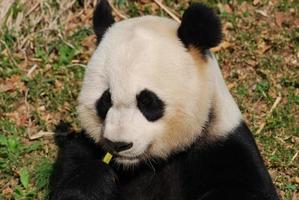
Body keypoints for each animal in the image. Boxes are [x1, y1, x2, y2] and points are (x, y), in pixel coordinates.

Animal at [48, 0, 280, 199]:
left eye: (148, 102)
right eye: (105, 101)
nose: (118, 144)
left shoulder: (225, 147)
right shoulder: (79, 151)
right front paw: (97, 179)